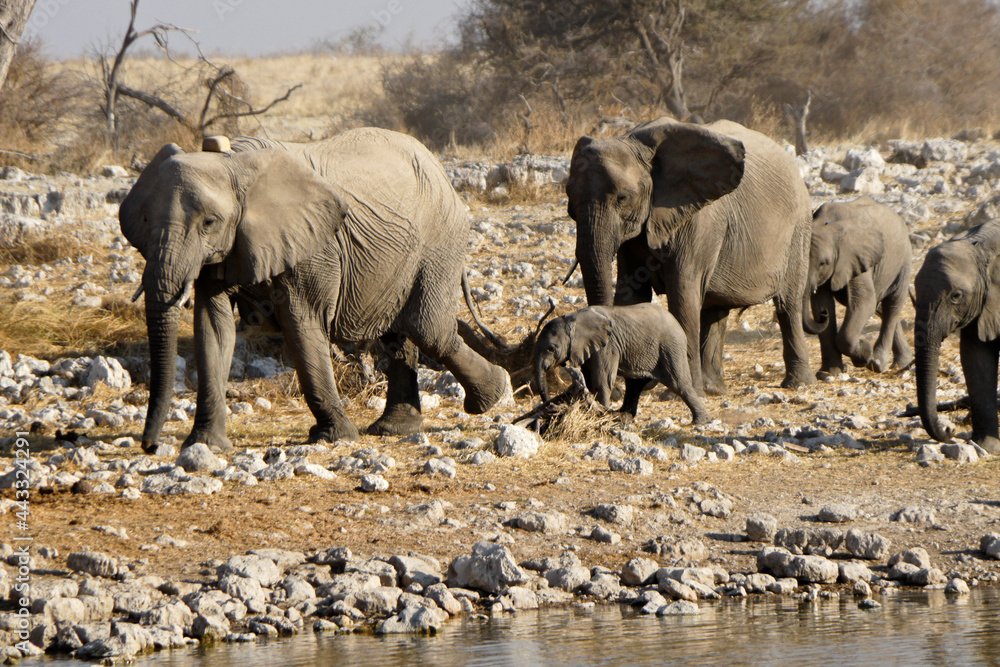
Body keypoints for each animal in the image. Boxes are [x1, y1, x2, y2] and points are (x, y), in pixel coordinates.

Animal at [119, 129, 512, 453]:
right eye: (145, 221)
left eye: (209, 223)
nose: (150, 447)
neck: (235, 163)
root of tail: (441, 171)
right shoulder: (225, 252)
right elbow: (213, 328)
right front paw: (204, 446)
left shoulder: (313, 248)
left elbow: (301, 323)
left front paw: (332, 437)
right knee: (400, 335)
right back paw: (394, 429)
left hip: (440, 240)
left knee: (428, 328)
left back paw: (493, 396)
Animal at [533, 303, 709, 423]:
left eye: (551, 348)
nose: (549, 407)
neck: (572, 318)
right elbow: (589, 379)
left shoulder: (607, 345)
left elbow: (603, 379)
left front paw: (601, 414)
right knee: (634, 386)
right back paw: (623, 416)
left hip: (670, 347)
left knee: (679, 383)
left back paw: (699, 422)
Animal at [566, 117, 814, 396]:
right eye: (569, 201)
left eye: (623, 198)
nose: (611, 390)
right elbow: (632, 295)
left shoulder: (698, 221)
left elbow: (682, 294)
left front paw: (676, 393)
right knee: (716, 308)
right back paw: (714, 389)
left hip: (799, 229)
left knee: (788, 305)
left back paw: (797, 383)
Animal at [802, 196, 913, 376]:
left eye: (822, 263)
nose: (823, 315)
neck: (828, 224)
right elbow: (821, 302)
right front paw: (828, 373)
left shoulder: (857, 257)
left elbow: (864, 302)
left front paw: (865, 352)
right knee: (880, 307)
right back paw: (902, 362)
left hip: (904, 260)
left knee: (892, 305)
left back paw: (877, 363)